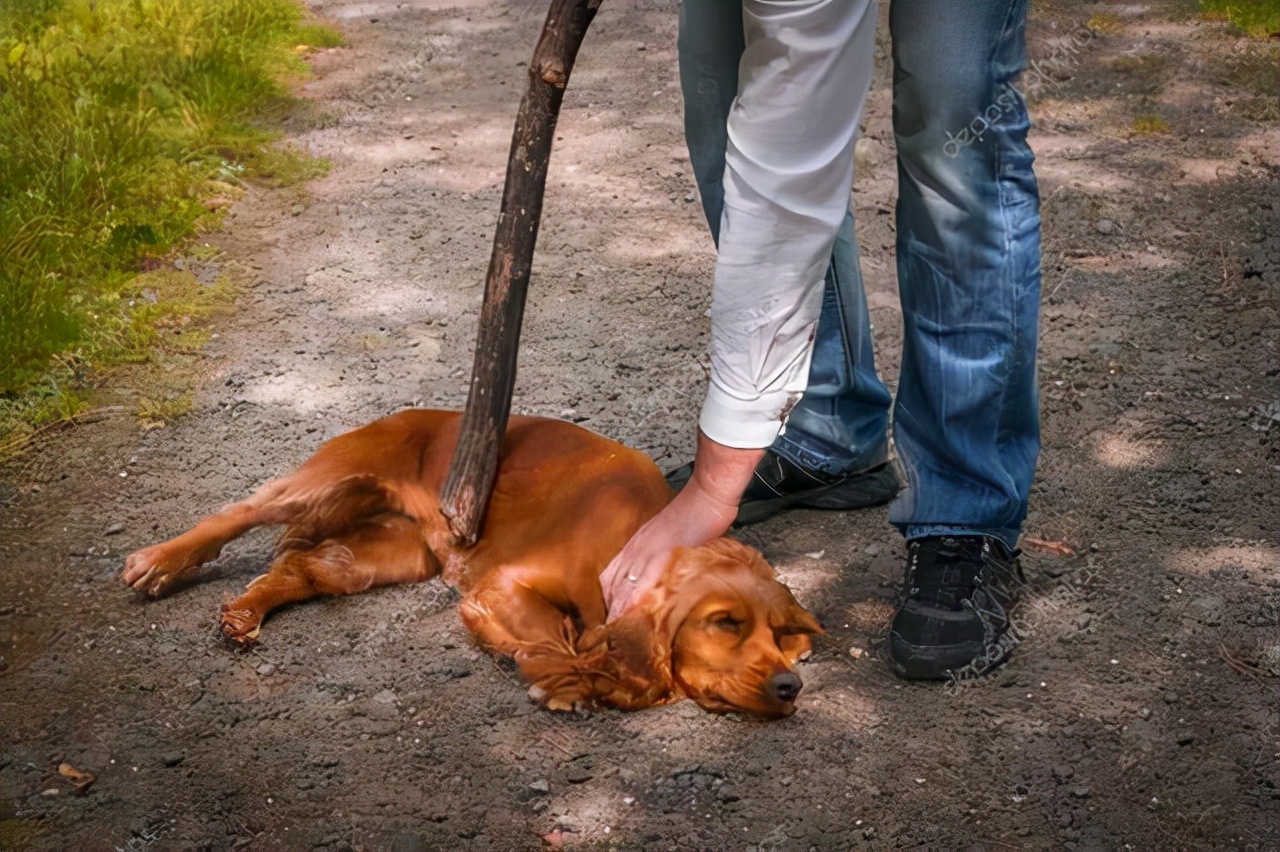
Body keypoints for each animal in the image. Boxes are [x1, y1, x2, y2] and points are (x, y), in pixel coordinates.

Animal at [120, 409, 819, 711]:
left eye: (784, 638)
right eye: (725, 622)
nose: (792, 687)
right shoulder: (506, 582)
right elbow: (563, 641)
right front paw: (568, 681)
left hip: (391, 554)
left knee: (306, 569)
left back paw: (244, 613)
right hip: (330, 477)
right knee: (236, 512)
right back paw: (157, 562)